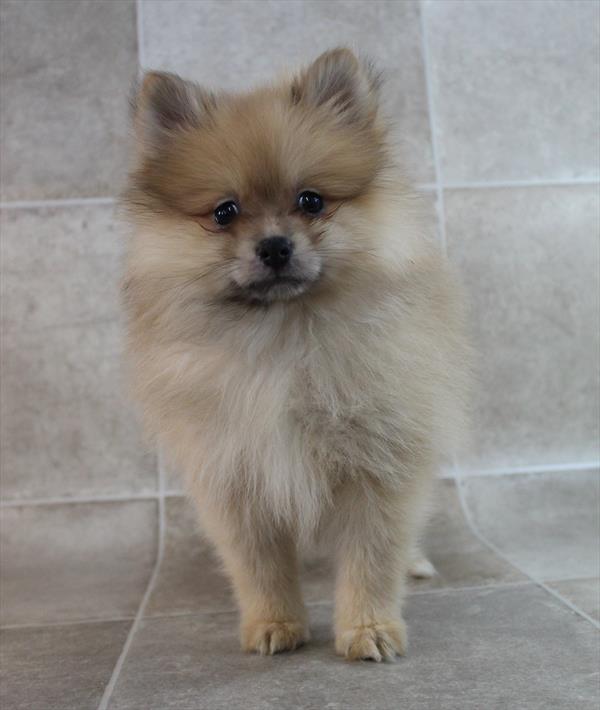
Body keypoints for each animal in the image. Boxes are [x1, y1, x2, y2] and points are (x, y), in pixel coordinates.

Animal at [122, 48, 470, 661]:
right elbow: (258, 563)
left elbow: (373, 555)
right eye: (224, 212)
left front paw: (368, 629)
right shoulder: (234, 473)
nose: (275, 246)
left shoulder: (378, 461)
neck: (283, 338)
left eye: (311, 201)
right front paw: (273, 622)